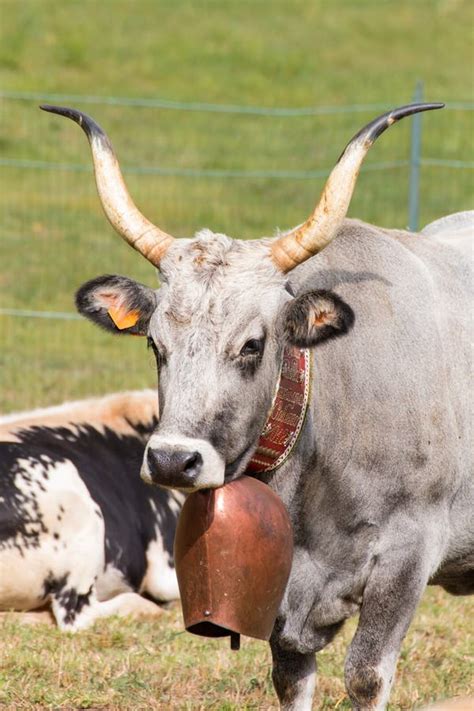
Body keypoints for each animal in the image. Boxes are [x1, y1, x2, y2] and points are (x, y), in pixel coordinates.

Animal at [40, 102, 472, 709]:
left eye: (252, 344)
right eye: (154, 344)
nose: (172, 461)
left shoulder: (407, 556)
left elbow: (366, 675)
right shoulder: (285, 594)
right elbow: (291, 678)